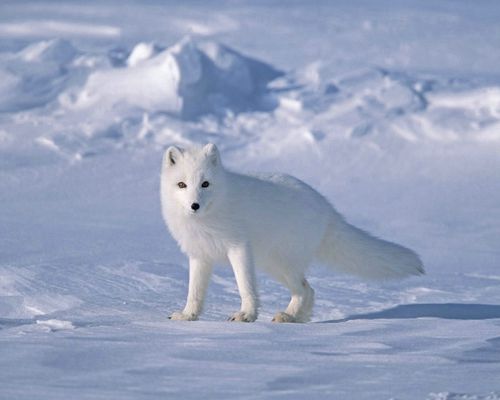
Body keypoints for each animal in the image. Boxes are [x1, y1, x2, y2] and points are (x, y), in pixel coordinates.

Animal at [159, 143, 422, 322]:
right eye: (182, 185)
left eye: (205, 184)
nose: (194, 205)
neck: (208, 217)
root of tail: (327, 208)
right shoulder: (199, 255)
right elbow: (194, 291)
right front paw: (188, 316)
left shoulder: (239, 248)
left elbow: (245, 286)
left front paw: (246, 315)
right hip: (273, 264)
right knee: (309, 290)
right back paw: (296, 318)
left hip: (281, 262)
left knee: (306, 289)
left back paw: (289, 317)